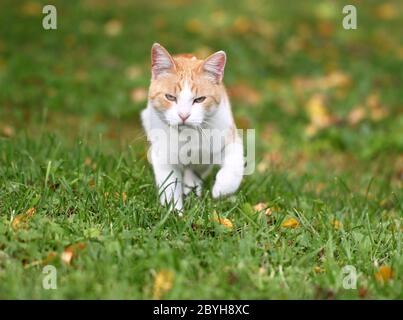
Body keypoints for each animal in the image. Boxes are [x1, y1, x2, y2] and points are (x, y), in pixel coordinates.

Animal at [140, 43, 245, 212]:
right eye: (170, 97)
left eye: (199, 99)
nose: (184, 115)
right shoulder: (163, 156)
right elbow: (169, 185)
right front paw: (174, 212)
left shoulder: (229, 136)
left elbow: (235, 162)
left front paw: (222, 188)